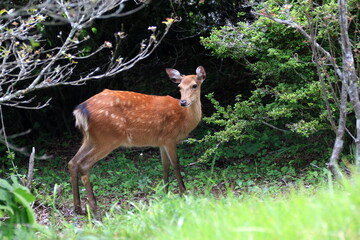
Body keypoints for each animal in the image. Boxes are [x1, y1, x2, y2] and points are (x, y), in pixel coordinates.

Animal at [67, 65, 205, 214]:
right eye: (179, 87)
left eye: (194, 85)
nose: (183, 102)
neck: (184, 119)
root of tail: (80, 111)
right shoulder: (169, 138)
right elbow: (176, 163)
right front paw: (183, 193)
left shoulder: (161, 141)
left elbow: (165, 165)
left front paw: (165, 192)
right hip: (108, 138)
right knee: (84, 164)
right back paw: (95, 208)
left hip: (89, 138)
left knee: (72, 162)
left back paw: (78, 208)